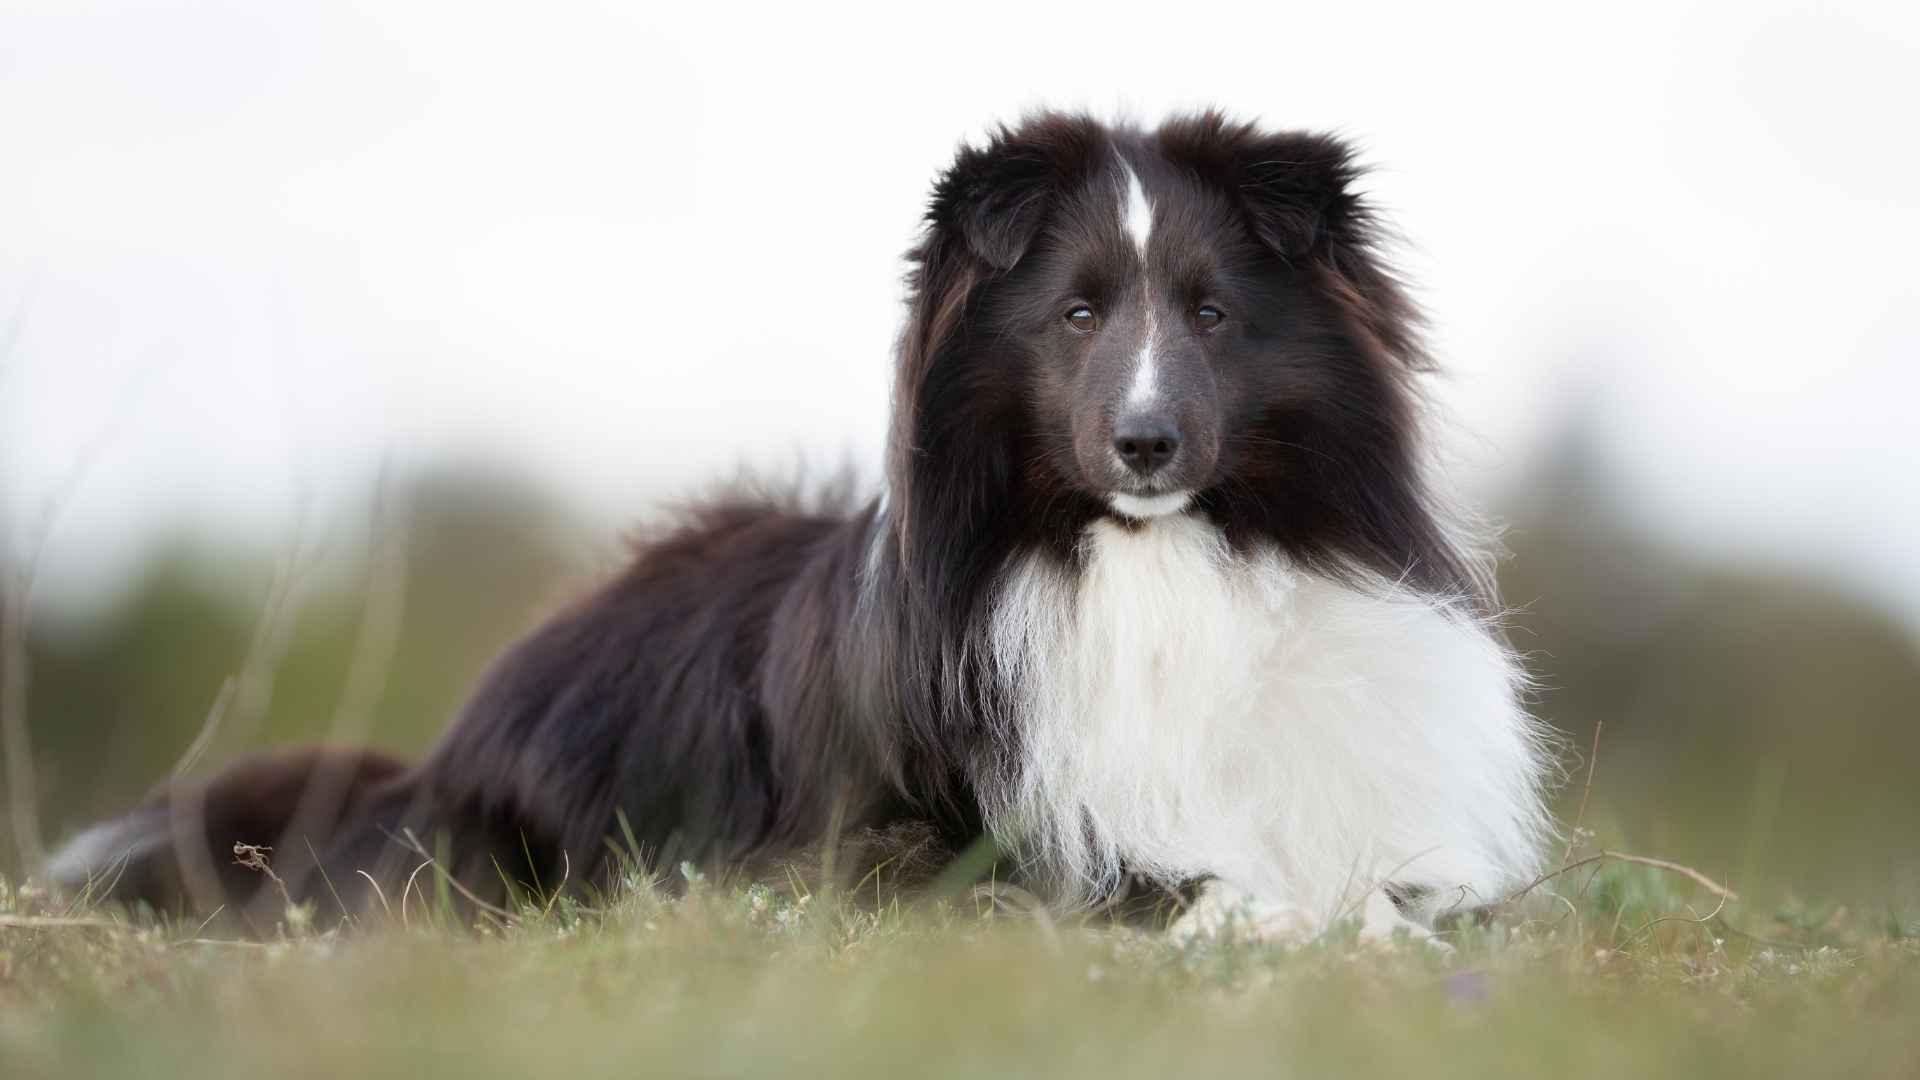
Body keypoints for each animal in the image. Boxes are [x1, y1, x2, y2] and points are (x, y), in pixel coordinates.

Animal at [48, 107, 1559, 933]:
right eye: (1076, 312)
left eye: (1210, 313)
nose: (1145, 445)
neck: (1150, 559)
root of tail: (436, 755)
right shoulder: (904, 846)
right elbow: (1168, 881)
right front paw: (1266, 920)